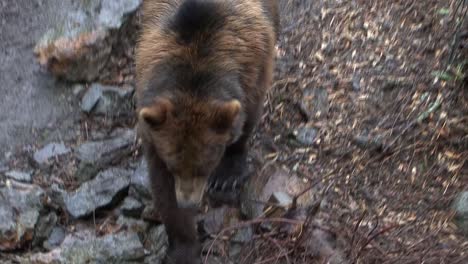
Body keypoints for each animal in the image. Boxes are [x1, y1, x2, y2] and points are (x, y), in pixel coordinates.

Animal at [135, 0, 278, 262]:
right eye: (174, 166)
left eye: (205, 166)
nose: (188, 203)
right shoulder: (153, 129)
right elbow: (162, 188)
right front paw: (183, 248)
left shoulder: (254, 71)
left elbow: (246, 121)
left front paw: (226, 175)